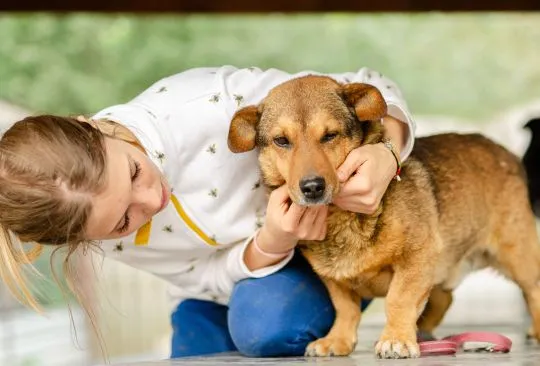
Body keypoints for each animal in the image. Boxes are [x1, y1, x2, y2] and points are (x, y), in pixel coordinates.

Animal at [226, 76, 540, 358]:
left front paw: (397, 339)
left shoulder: (418, 256)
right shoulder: (332, 277)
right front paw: (338, 340)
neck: (341, 219)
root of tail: (504, 151)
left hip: (518, 255)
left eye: (330, 135)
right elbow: (345, 308)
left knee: (533, 290)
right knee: (443, 298)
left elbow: (398, 300)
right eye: (281, 141)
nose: (312, 187)